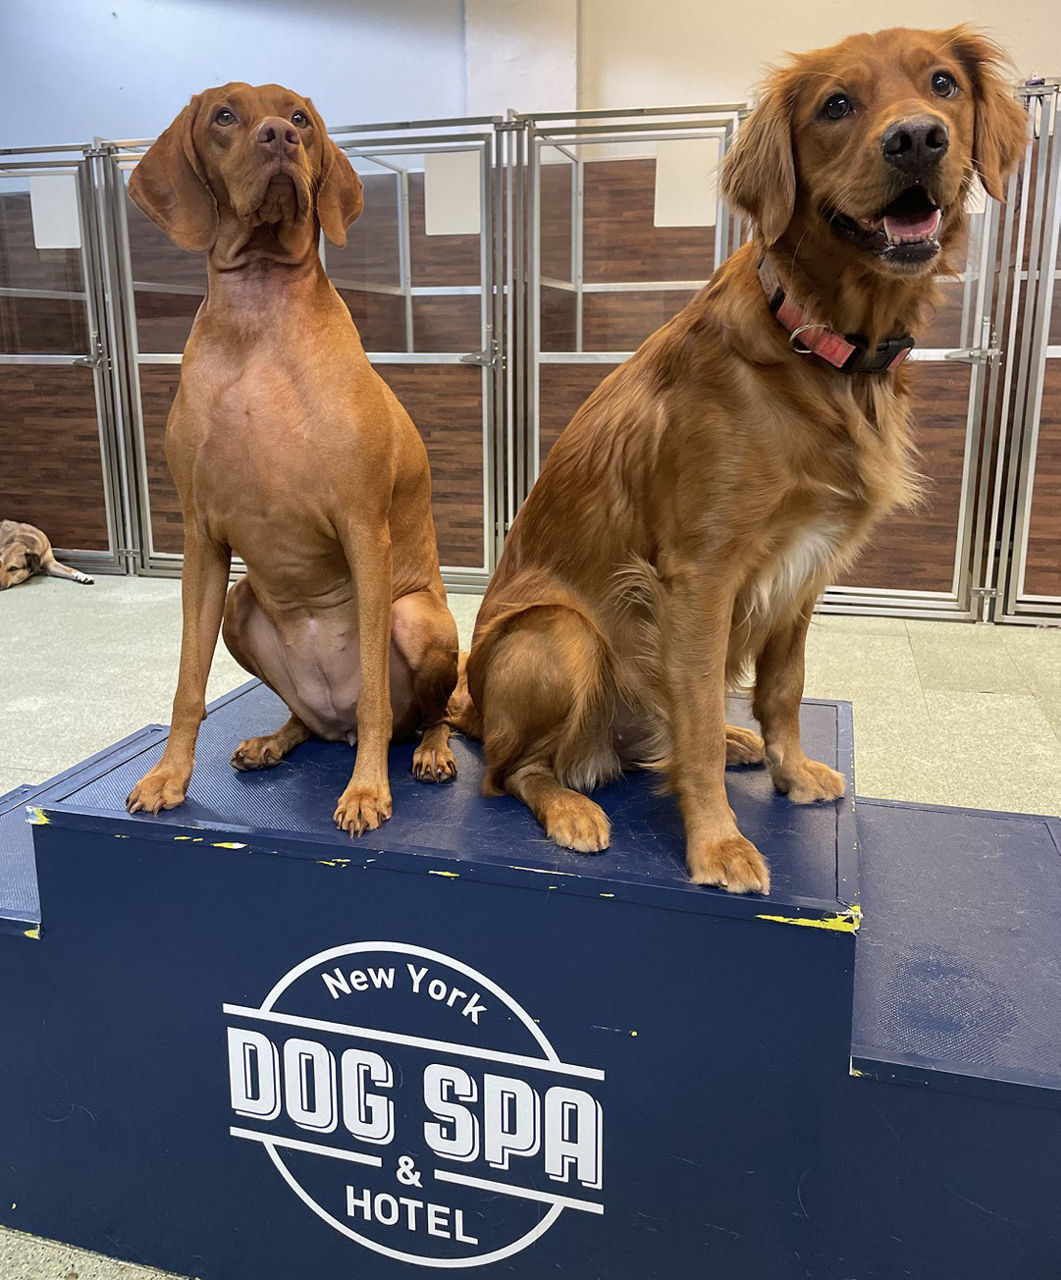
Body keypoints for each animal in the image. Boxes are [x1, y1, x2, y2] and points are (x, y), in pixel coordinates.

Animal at [124, 85, 455, 834]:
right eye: (224, 115)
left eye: (300, 118)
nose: (281, 137)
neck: (259, 316)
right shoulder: (200, 539)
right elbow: (187, 685)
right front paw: (168, 776)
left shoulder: (364, 528)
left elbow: (375, 694)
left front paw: (366, 792)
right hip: (240, 606)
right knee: (310, 718)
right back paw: (276, 739)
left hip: (415, 617)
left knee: (423, 712)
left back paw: (427, 750)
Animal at [455, 27, 1029, 890]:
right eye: (836, 104)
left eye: (941, 85)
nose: (917, 139)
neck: (819, 348)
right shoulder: (701, 575)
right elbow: (691, 717)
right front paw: (716, 843)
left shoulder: (807, 566)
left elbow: (781, 690)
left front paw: (789, 770)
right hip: (560, 635)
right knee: (511, 771)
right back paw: (569, 806)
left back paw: (730, 745)